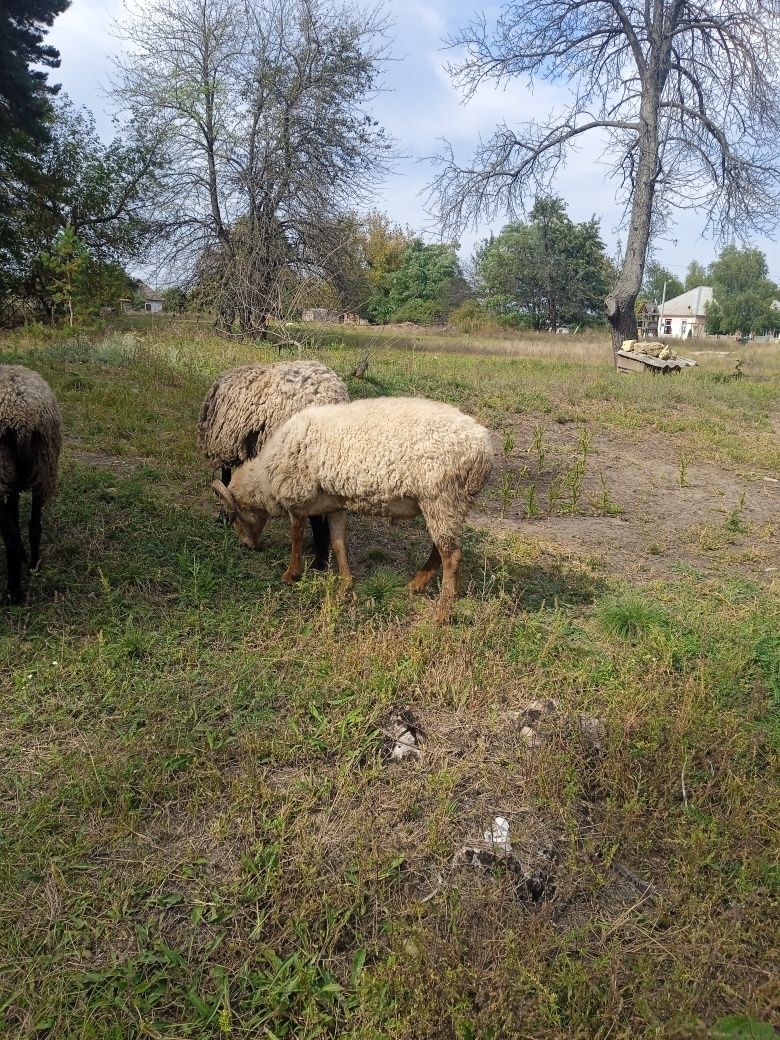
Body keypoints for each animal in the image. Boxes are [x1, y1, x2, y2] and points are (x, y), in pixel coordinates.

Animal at [0, 370, 62, 607]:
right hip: (43, 467)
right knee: (35, 524)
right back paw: (34, 566)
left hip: (2, 472)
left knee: (11, 536)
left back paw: (13, 593)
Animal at [212, 395, 495, 619]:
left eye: (234, 517)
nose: (248, 546)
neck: (266, 476)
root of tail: (484, 450)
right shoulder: (334, 504)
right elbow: (338, 543)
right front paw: (345, 587)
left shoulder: (298, 498)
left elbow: (296, 538)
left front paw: (291, 574)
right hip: (449, 505)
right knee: (440, 550)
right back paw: (416, 585)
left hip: (441, 498)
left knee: (452, 557)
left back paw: (442, 614)